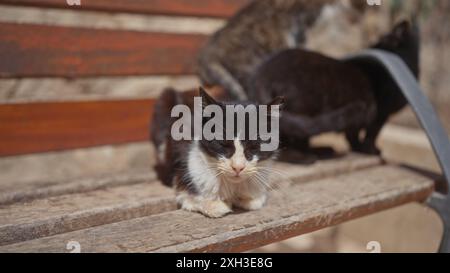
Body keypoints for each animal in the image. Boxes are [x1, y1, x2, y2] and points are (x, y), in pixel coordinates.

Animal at [152, 87, 284, 217]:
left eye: (254, 147)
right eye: (223, 144)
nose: (238, 167)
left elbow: (255, 202)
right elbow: (188, 195)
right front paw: (216, 204)